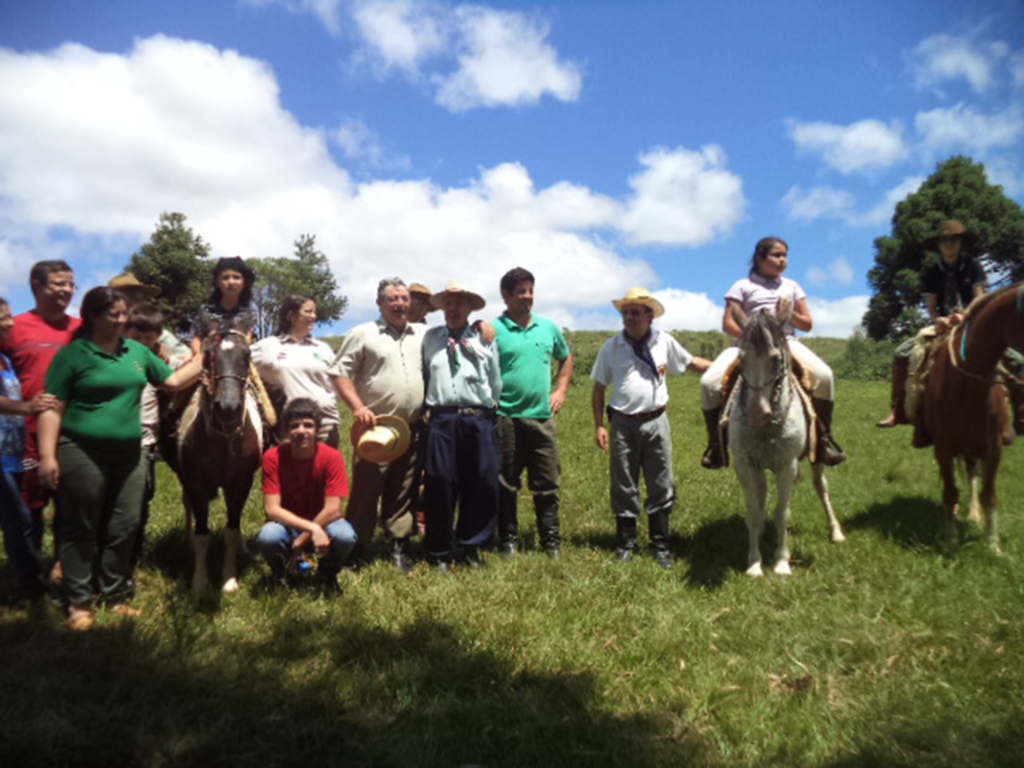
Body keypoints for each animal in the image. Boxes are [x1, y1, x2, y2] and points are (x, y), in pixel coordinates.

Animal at [161, 327, 262, 593]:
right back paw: (186, 540)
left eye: (248, 355)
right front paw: (200, 582)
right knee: (187, 506)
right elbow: (202, 535)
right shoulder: (195, 483)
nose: (228, 407)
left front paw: (229, 579)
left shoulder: (241, 483)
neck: (224, 439)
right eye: (208, 356)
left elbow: (231, 531)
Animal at [729, 307, 847, 577]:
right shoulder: (745, 465)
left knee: (821, 487)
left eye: (775, 358)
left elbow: (783, 513)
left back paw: (836, 531)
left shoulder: (787, 465)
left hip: (817, 458)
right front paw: (754, 563)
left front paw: (782, 563)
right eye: (741, 358)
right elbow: (753, 511)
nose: (756, 412)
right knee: (763, 494)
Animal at [921, 284, 1024, 552]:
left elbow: (990, 494)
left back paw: (973, 514)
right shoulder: (943, 448)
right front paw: (949, 540)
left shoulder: (992, 448)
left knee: (971, 474)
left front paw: (993, 545)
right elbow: (950, 491)